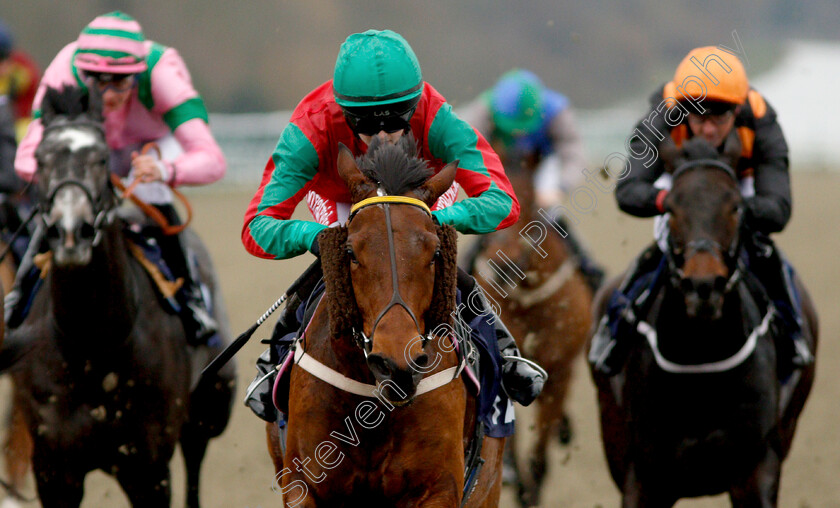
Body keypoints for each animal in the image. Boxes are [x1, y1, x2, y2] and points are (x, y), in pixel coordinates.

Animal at [1, 85, 236, 506]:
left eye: (101, 157)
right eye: (41, 159)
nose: (71, 232)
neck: (93, 343)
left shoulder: (147, 468)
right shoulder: (54, 469)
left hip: (210, 406)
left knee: (195, 461)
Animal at [466, 145, 592, 506]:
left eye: (530, 203)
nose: (502, 268)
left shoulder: (559, 369)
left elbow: (540, 449)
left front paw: (531, 487)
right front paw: (514, 476)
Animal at [588, 137, 816, 506]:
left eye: (736, 207)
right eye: (670, 210)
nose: (704, 285)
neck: (701, 358)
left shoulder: (756, 469)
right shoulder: (643, 476)